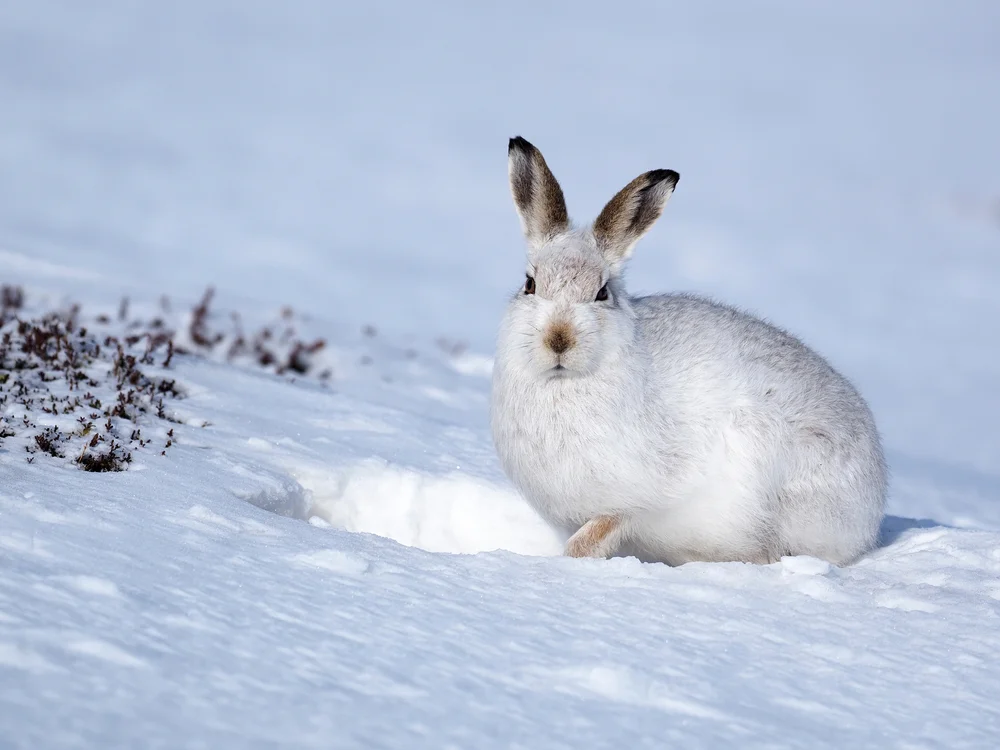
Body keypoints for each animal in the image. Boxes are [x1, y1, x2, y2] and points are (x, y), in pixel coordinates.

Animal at [490, 136, 887, 566]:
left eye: (602, 292)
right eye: (529, 284)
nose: (558, 339)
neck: (566, 381)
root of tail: (873, 499)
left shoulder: (633, 502)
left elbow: (597, 532)